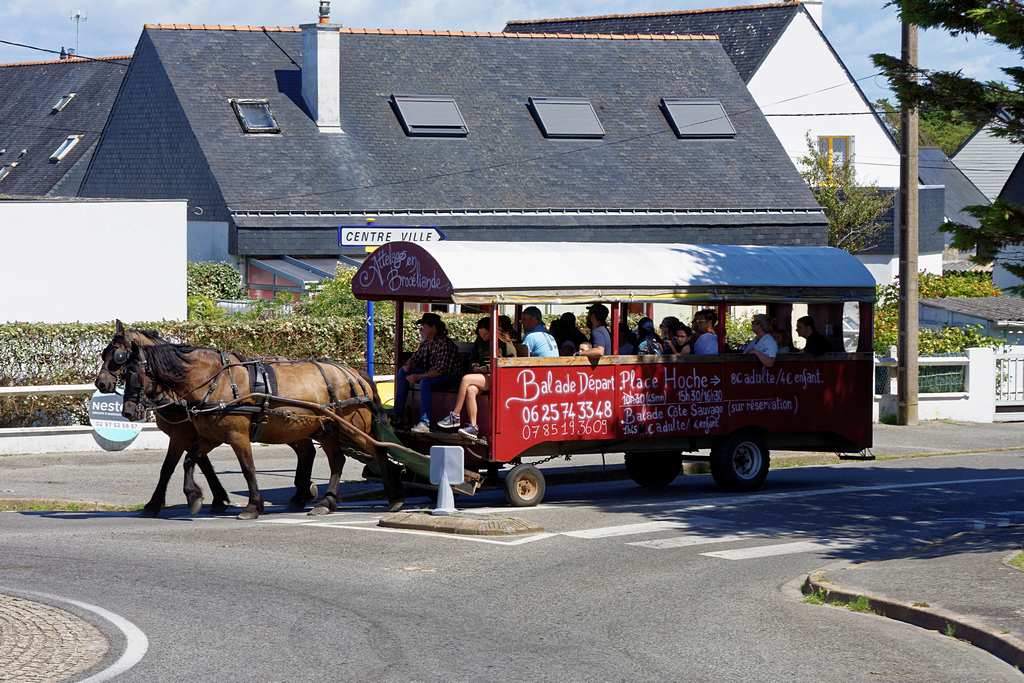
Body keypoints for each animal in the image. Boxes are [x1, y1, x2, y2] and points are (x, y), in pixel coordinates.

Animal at [96, 323, 319, 516]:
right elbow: (200, 463)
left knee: (307, 451)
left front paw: (154, 504)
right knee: (307, 450)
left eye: (119, 355)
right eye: (104, 353)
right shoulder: (200, 434)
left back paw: (302, 492)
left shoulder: (182, 434)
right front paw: (215, 499)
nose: (101, 383)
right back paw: (302, 493)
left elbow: (169, 467)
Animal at [120, 339, 403, 520]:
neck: (216, 381)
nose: (127, 412)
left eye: (133, 374)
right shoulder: (210, 436)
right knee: (336, 461)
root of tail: (353, 372)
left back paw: (394, 497)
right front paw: (194, 497)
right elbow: (189, 461)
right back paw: (326, 502)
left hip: (353, 427)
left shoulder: (236, 435)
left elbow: (248, 469)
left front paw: (253, 507)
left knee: (378, 452)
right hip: (327, 429)